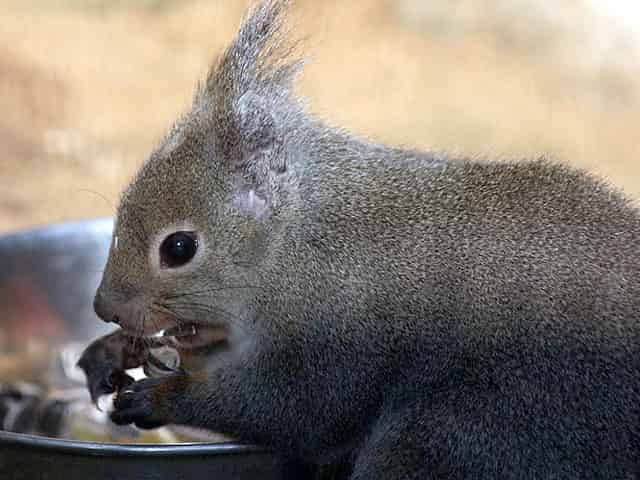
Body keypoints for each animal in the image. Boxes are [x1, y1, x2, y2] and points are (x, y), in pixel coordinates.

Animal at [81, 1, 640, 478]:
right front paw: (112, 352)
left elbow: (291, 409)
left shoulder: (339, 333)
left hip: (468, 435)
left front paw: (159, 396)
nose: (105, 307)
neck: (303, 241)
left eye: (178, 248)